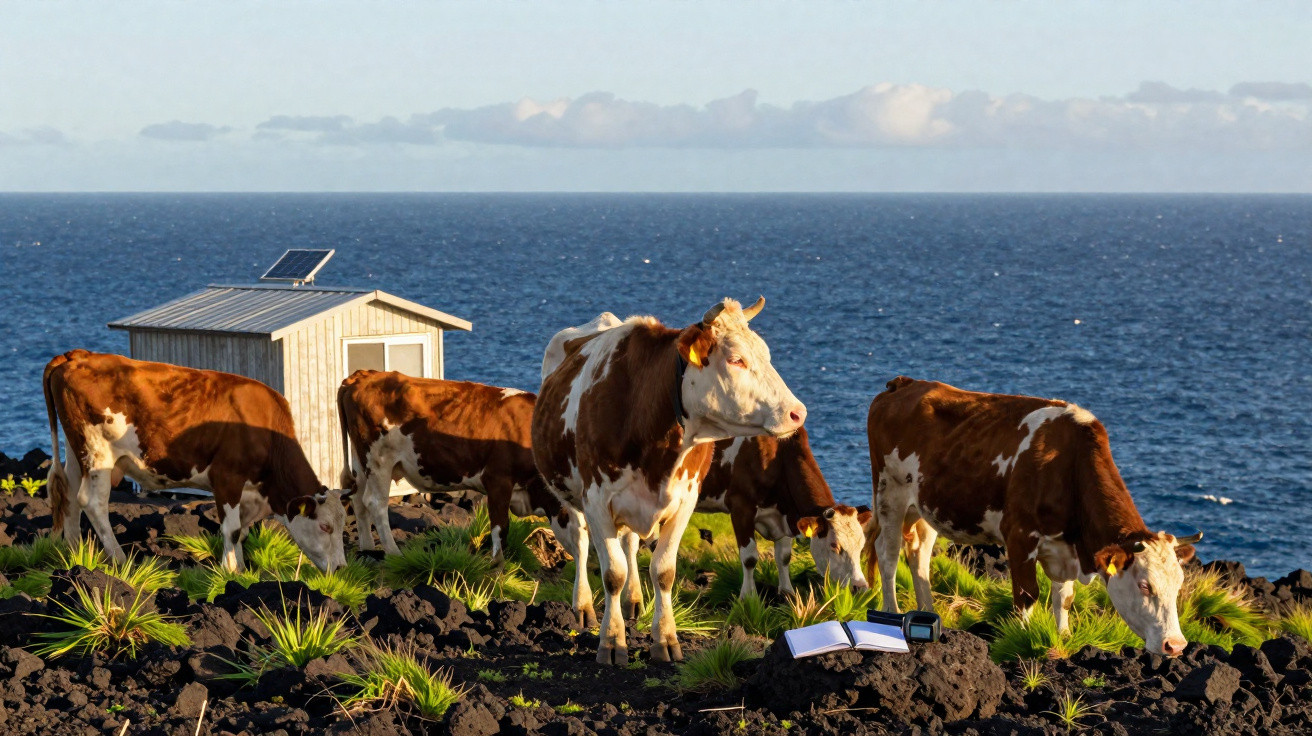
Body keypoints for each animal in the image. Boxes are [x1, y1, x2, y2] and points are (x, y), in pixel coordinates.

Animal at [43, 350, 346, 573]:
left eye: (342, 525)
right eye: (325, 526)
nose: (342, 568)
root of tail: (77, 355)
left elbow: (242, 531)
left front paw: (241, 567)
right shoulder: (226, 478)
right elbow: (232, 529)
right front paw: (230, 571)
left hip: (76, 451)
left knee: (69, 496)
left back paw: (74, 554)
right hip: (98, 453)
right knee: (94, 503)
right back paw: (119, 559)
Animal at [336, 371, 586, 594]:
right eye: (578, 526)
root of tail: (363, 375)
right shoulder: (498, 480)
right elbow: (500, 528)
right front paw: (497, 568)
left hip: (361, 462)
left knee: (358, 500)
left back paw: (368, 548)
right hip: (379, 460)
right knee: (375, 503)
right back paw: (394, 553)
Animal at [533, 297, 806, 665]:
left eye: (767, 354)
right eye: (736, 359)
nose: (797, 413)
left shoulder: (684, 500)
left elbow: (663, 571)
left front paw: (665, 639)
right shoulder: (597, 500)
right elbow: (612, 573)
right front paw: (612, 641)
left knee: (629, 543)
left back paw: (634, 600)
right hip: (569, 493)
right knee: (580, 540)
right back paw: (584, 607)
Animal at [697, 429, 872, 599]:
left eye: (862, 545)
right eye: (834, 545)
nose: (861, 587)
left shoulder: (786, 515)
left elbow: (784, 556)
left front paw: (788, 593)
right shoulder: (741, 506)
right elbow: (749, 557)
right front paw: (748, 597)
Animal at [864, 377, 1201, 656]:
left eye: (1179, 586)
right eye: (1145, 586)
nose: (1175, 645)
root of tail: (903, 384)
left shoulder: (1064, 550)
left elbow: (1064, 598)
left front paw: (1064, 638)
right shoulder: (1020, 536)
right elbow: (1027, 597)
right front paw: (1022, 641)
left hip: (924, 507)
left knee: (918, 554)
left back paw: (927, 611)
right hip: (889, 493)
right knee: (888, 553)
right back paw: (891, 613)